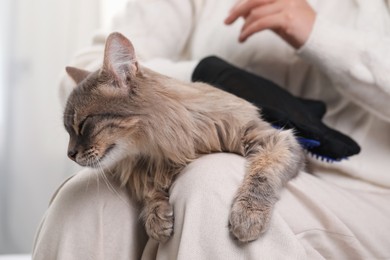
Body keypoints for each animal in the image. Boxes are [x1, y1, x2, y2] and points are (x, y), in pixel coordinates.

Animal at [64, 31, 304, 243]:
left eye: (83, 124)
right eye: (68, 131)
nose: (70, 154)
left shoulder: (273, 139)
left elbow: (261, 176)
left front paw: (248, 214)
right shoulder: (143, 169)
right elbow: (149, 191)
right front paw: (156, 217)